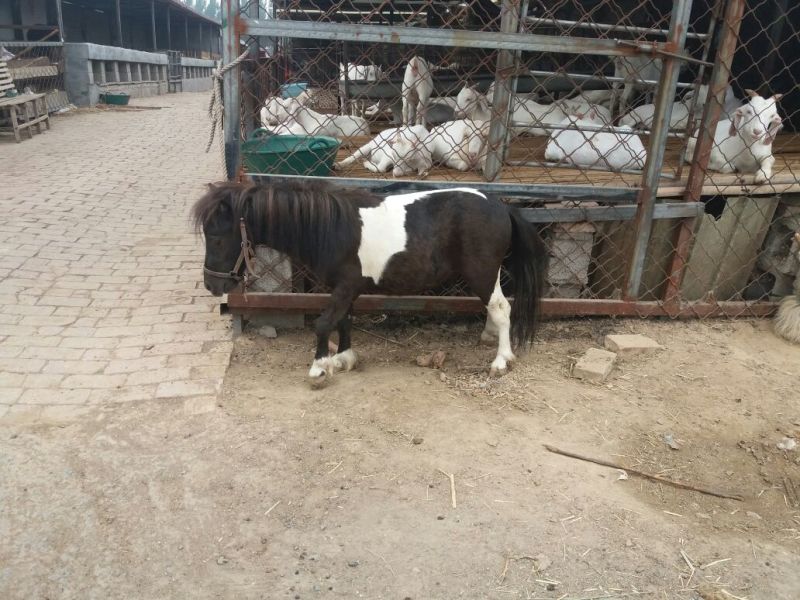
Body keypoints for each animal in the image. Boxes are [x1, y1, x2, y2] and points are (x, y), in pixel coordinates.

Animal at [193, 181, 548, 387]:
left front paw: (319, 368)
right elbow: (344, 321)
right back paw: (490, 339)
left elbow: (324, 323)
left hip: (482, 273)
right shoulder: (346, 288)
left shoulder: (345, 286)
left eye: (217, 236)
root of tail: (501, 206)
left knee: (501, 308)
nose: (212, 285)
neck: (332, 228)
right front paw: (344, 358)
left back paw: (501, 361)